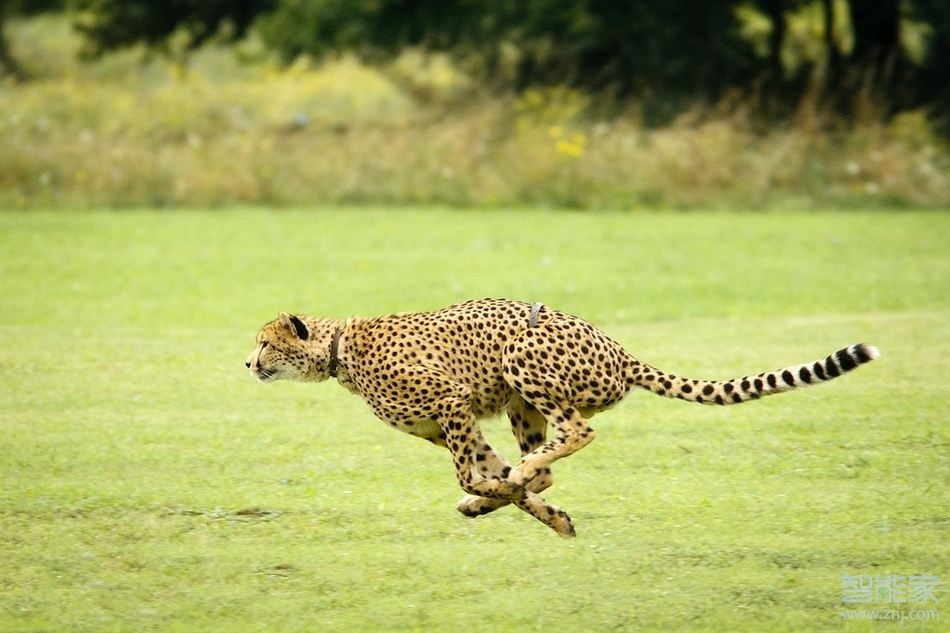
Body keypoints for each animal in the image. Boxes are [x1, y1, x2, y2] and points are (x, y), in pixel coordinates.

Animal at [247, 298, 884, 536]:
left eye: (266, 342)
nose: (247, 363)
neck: (338, 350)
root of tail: (620, 350)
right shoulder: (453, 423)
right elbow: (494, 476)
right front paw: (536, 512)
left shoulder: (453, 404)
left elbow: (472, 472)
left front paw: (492, 494)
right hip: (520, 404)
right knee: (545, 459)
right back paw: (524, 485)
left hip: (520, 360)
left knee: (578, 431)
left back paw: (522, 475)